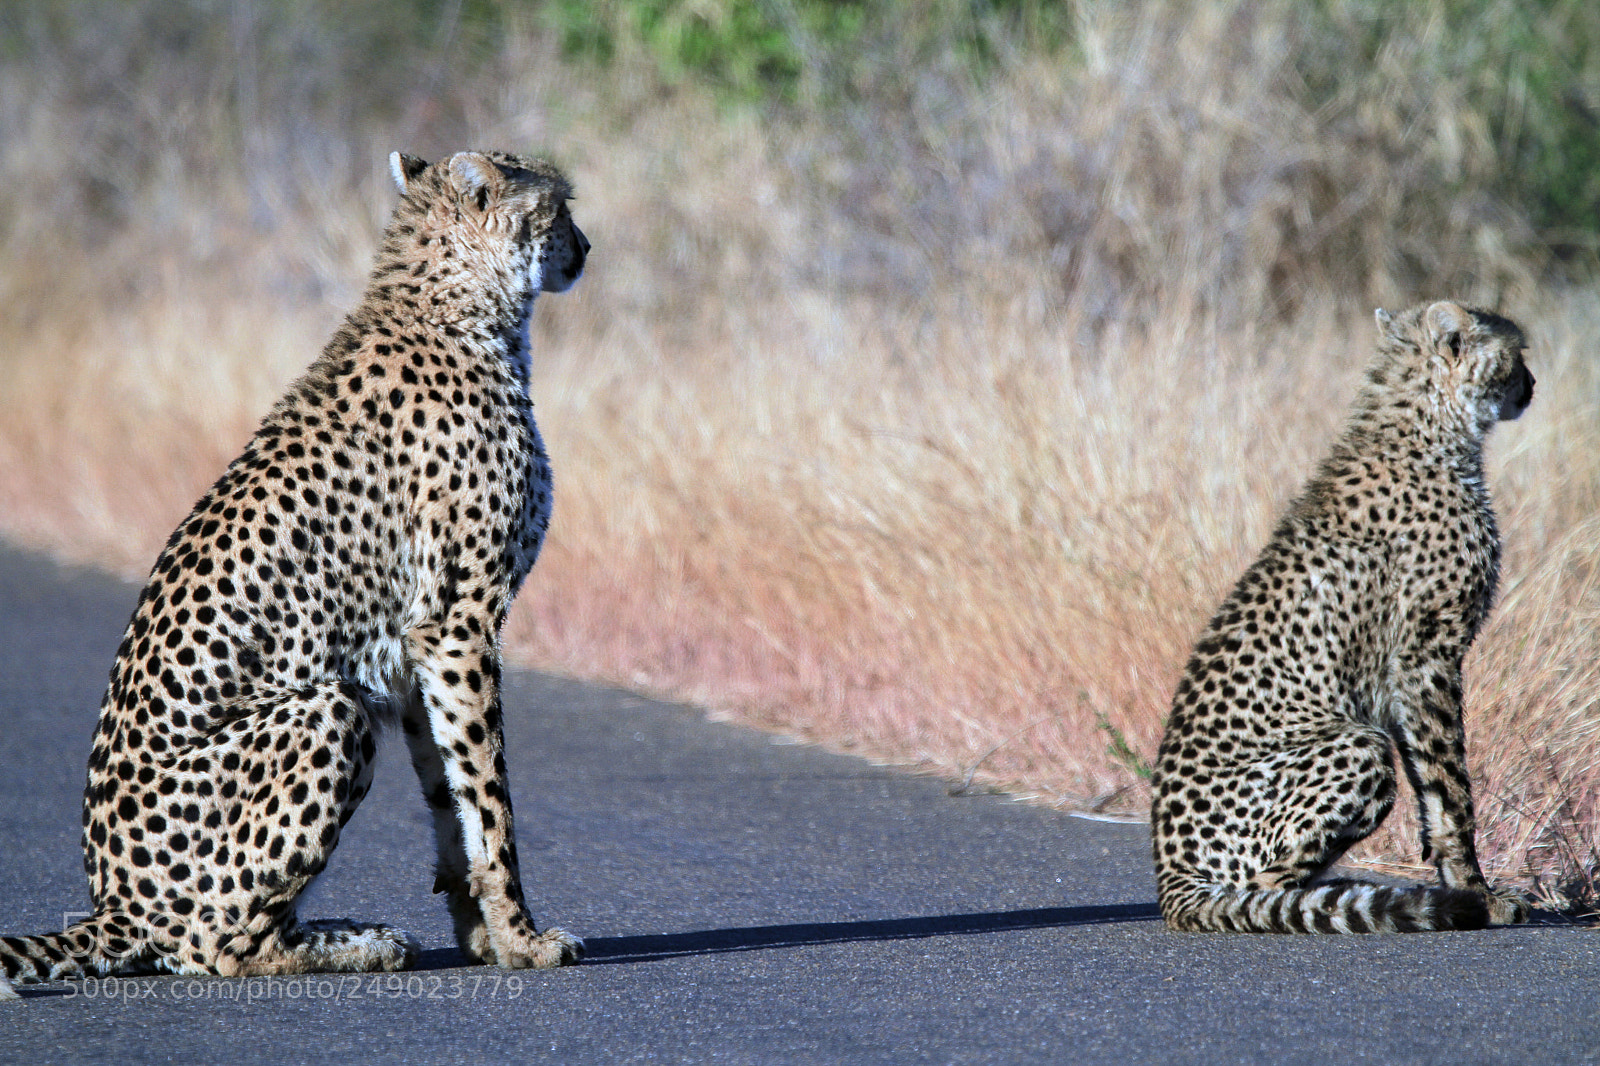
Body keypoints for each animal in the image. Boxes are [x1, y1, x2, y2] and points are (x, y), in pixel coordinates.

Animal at [1, 149, 590, 998]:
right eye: (558, 208)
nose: (586, 248)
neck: (455, 303)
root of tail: (112, 903)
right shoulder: (460, 625)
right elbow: (488, 797)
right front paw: (522, 940)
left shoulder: (417, 648)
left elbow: (448, 794)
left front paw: (482, 933)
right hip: (326, 714)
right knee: (216, 946)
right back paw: (350, 948)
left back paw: (349, 932)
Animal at [1150, 300, 1535, 934]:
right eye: (1517, 353)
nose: (1531, 384)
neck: (1427, 423)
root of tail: (1170, 883)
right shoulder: (1427, 653)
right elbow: (1452, 789)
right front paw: (1478, 894)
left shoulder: (1403, 676)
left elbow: (1430, 788)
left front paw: (1459, 884)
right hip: (1356, 747)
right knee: (1260, 892)